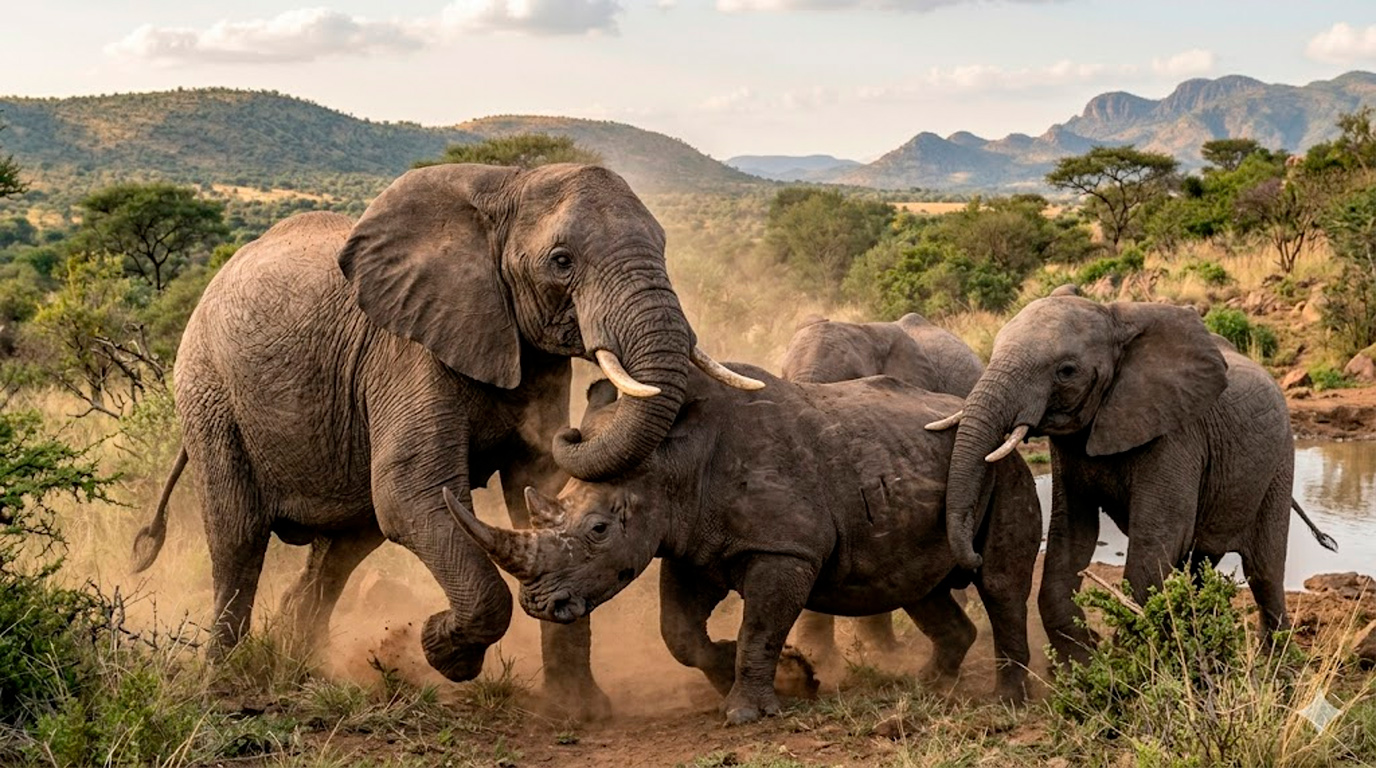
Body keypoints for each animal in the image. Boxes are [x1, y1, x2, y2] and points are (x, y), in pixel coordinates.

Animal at [128, 163, 761, 718]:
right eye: (561, 263)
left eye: (663, 249)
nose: (580, 421)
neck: (506, 186)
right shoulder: (405, 351)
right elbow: (414, 494)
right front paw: (441, 651)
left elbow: (538, 490)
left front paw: (580, 713)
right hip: (208, 391)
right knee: (238, 535)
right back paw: (227, 683)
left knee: (342, 548)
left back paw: (300, 665)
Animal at [446, 366, 1043, 724]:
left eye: (598, 531)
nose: (538, 605)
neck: (671, 461)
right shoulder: (691, 546)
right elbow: (679, 632)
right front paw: (786, 676)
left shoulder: (785, 549)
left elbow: (760, 626)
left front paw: (747, 711)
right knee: (920, 588)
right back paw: (926, 688)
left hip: (1004, 467)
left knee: (999, 584)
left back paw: (1008, 701)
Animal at [929, 295, 1335, 665]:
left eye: (1066, 371)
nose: (975, 559)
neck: (1116, 320)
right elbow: (1072, 531)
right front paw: (1089, 660)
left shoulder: (1176, 433)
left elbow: (1158, 537)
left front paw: (1122, 668)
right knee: (1200, 565)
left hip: (1280, 464)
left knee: (1264, 571)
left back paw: (1277, 668)